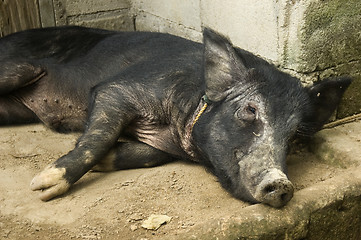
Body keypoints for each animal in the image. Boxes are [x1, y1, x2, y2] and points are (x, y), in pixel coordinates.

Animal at [0, 25, 350, 206]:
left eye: (295, 136)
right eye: (249, 110)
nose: (280, 183)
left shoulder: (161, 147)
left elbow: (143, 154)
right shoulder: (117, 89)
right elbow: (99, 137)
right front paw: (41, 186)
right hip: (19, 69)